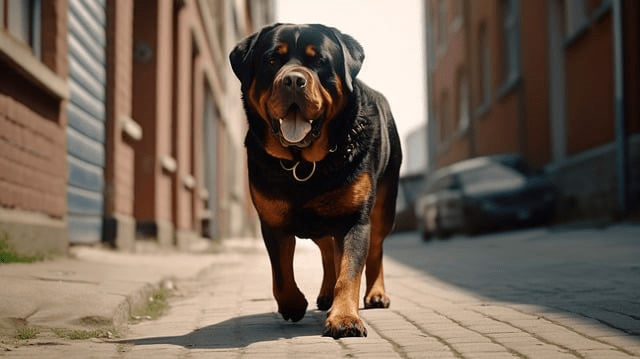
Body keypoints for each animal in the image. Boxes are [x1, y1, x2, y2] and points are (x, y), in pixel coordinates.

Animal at [229, 23, 400, 340]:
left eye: (319, 61)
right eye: (272, 60)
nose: (293, 80)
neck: (303, 164)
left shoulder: (354, 219)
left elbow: (350, 272)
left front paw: (345, 318)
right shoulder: (272, 222)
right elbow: (281, 274)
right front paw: (294, 304)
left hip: (385, 204)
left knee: (376, 248)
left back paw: (376, 294)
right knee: (326, 250)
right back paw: (325, 295)